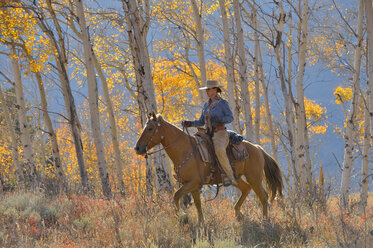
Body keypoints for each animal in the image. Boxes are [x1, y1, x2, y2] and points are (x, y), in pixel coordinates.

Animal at [134, 113, 282, 225]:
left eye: (150, 128)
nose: (138, 148)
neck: (185, 150)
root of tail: (257, 148)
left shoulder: (194, 182)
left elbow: (176, 196)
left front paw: (182, 217)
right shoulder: (192, 185)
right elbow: (197, 203)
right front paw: (200, 223)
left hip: (254, 178)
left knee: (263, 197)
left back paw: (265, 221)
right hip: (236, 178)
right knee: (246, 189)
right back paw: (238, 214)